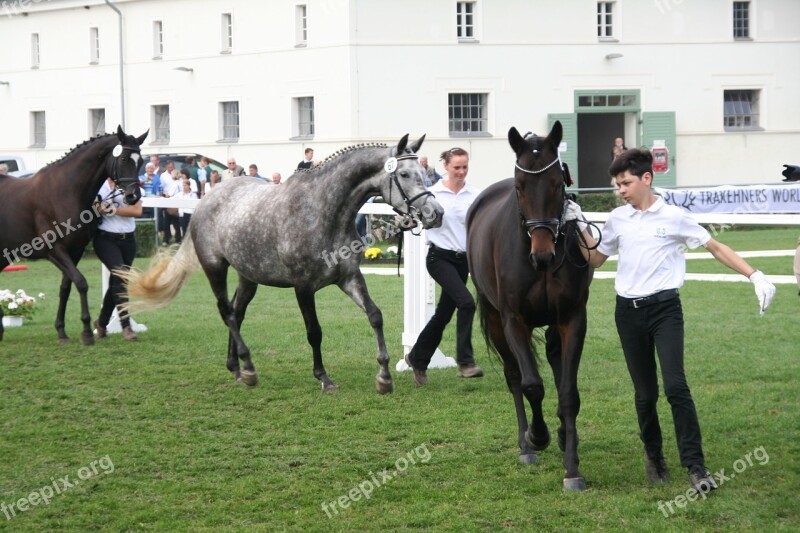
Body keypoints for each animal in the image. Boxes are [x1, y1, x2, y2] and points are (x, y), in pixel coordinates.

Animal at [0, 126, 147, 342]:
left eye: (141, 161)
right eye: (123, 159)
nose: (133, 196)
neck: (66, 191)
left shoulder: (75, 250)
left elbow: (66, 288)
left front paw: (62, 331)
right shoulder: (55, 250)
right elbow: (81, 283)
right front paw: (86, 331)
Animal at [123, 135, 444, 392]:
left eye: (424, 173)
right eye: (404, 173)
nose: (435, 213)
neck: (323, 211)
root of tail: (205, 200)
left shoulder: (349, 278)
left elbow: (375, 316)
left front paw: (384, 376)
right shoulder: (303, 287)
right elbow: (314, 331)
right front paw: (323, 378)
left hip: (248, 277)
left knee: (237, 312)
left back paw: (237, 368)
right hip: (215, 268)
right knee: (227, 312)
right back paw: (249, 369)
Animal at [466, 121, 592, 490]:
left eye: (557, 184)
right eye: (520, 187)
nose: (543, 255)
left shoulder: (572, 319)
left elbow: (568, 393)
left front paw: (572, 468)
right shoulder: (514, 322)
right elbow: (531, 385)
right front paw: (537, 436)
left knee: (553, 358)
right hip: (495, 321)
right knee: (513, 377)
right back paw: (526, 445)